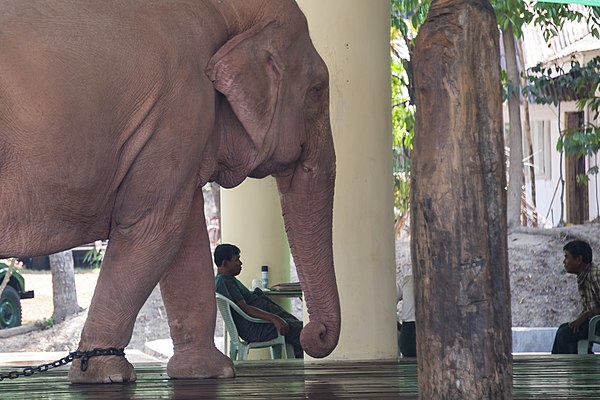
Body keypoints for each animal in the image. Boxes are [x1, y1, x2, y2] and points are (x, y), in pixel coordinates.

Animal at [0, 0, 338, 382]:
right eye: (316, 91)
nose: (314, 332)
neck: (226, 11)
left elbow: (186, 235)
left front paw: (207, 372)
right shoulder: (180, 109)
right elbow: (154, 226)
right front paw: (108, 375)